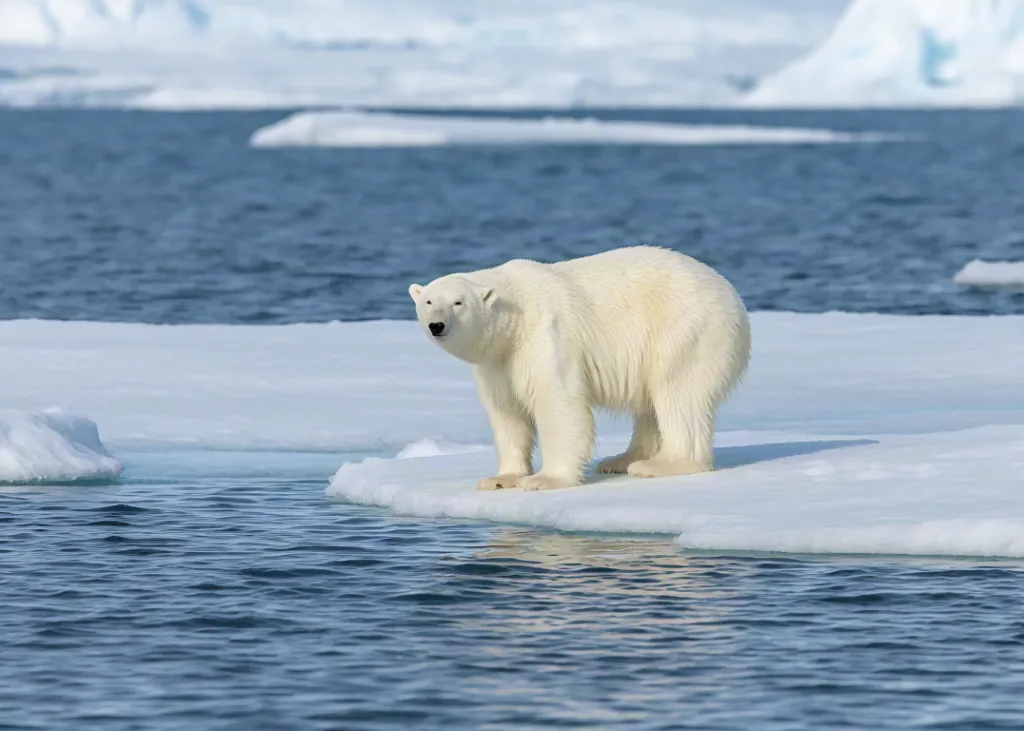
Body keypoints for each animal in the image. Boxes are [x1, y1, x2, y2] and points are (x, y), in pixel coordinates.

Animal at [408, 245, 751, 492]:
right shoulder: (496, 365)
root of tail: (733, 297)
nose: (437, 325)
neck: (514, 319)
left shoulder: (545, 338)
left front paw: (543, 480)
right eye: (428, 302)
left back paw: (661, 464)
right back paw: (622, 460)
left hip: (683, 329)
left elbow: (558, 404)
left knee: (677, 392)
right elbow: (506, 412)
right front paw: (500, 478)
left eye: (458, 303)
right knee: (651, 405)